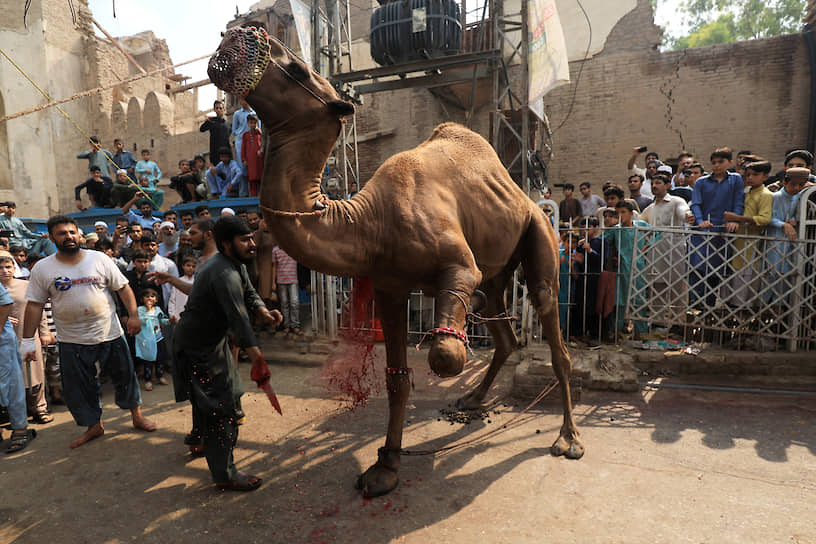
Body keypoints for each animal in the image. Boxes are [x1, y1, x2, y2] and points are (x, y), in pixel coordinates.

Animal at [207, 27, 584, 500]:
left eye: (297, 69)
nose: (240, 34)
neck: (372, 219)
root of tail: (527, 197)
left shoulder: (459, 266)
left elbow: (444, 355)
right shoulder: (390, 286)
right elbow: (396, 378)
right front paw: (385, 467)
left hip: (539, 235)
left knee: (553, 333)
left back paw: (569, 438)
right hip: (498, 267)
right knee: (504, 331)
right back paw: (473, 400)